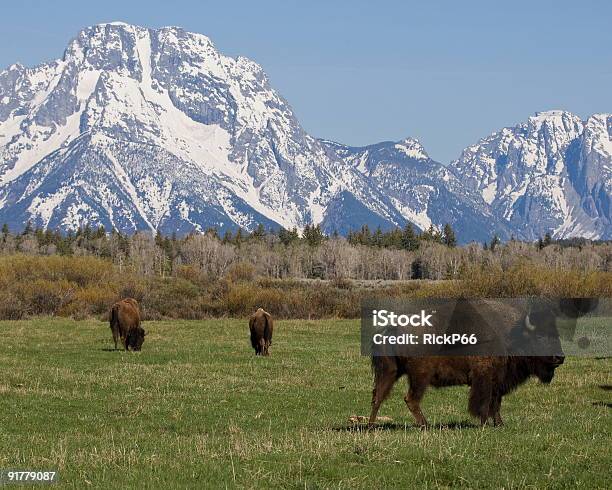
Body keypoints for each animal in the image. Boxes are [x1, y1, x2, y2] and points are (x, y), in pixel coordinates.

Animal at [366, 296, 596, 426]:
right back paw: (425, 425)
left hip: (391, 372)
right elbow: (483, 402)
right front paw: (484, 423)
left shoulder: (499, 381)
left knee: (377, 396)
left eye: (556, 335)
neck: (512, 335)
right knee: (410, 399)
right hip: (419, 376)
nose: (560, 357)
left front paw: (500, 424)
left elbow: (496, 403)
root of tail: (394, 328)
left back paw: (371, 426)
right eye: (539, 337)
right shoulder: (484, 377)